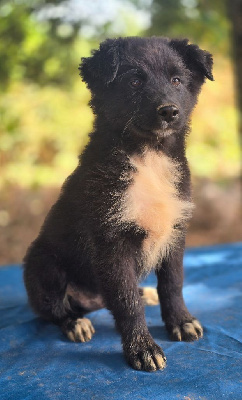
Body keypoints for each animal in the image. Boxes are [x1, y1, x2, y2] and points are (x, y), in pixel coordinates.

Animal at [23, 36, 213, 372]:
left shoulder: (175, 231)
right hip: (43, 264)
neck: (149, 156)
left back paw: (143, 292)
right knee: (54, 309)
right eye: (134, 81)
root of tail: (90, 299)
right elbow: (126, 303)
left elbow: (173, 282)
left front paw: (181, 321)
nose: (169, 111)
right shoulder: (112, 241)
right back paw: (75, 323)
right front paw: (143, 348)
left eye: (177, 80)